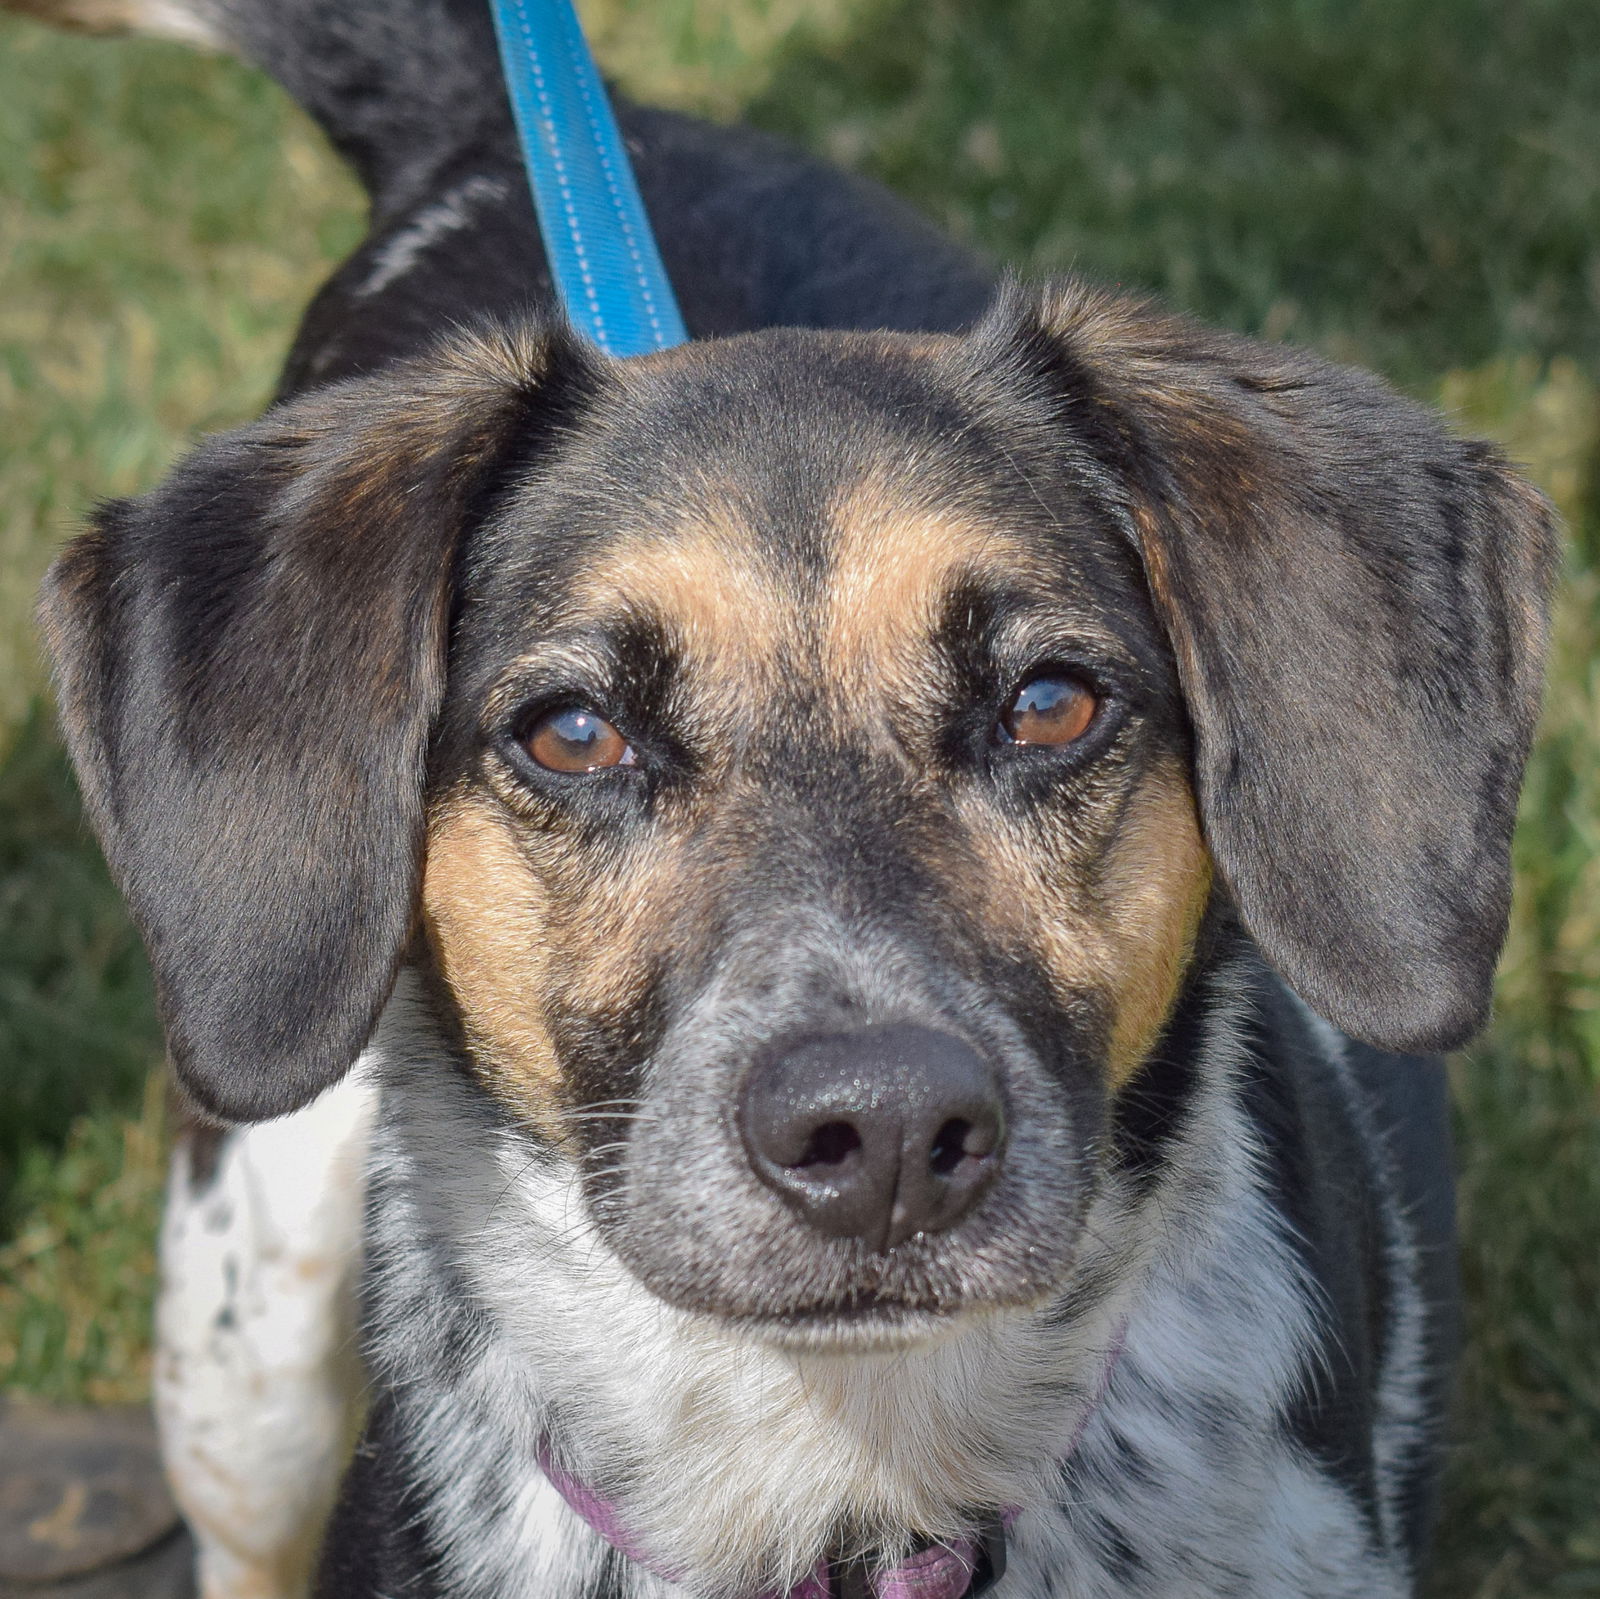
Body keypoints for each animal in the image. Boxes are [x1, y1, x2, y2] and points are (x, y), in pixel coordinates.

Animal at [18, 0, 1555, 1594]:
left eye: (1051, 702)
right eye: (574, 732)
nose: (879, 1129)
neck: (844, 1488)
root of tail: (493, 123)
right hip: (248, 1334)